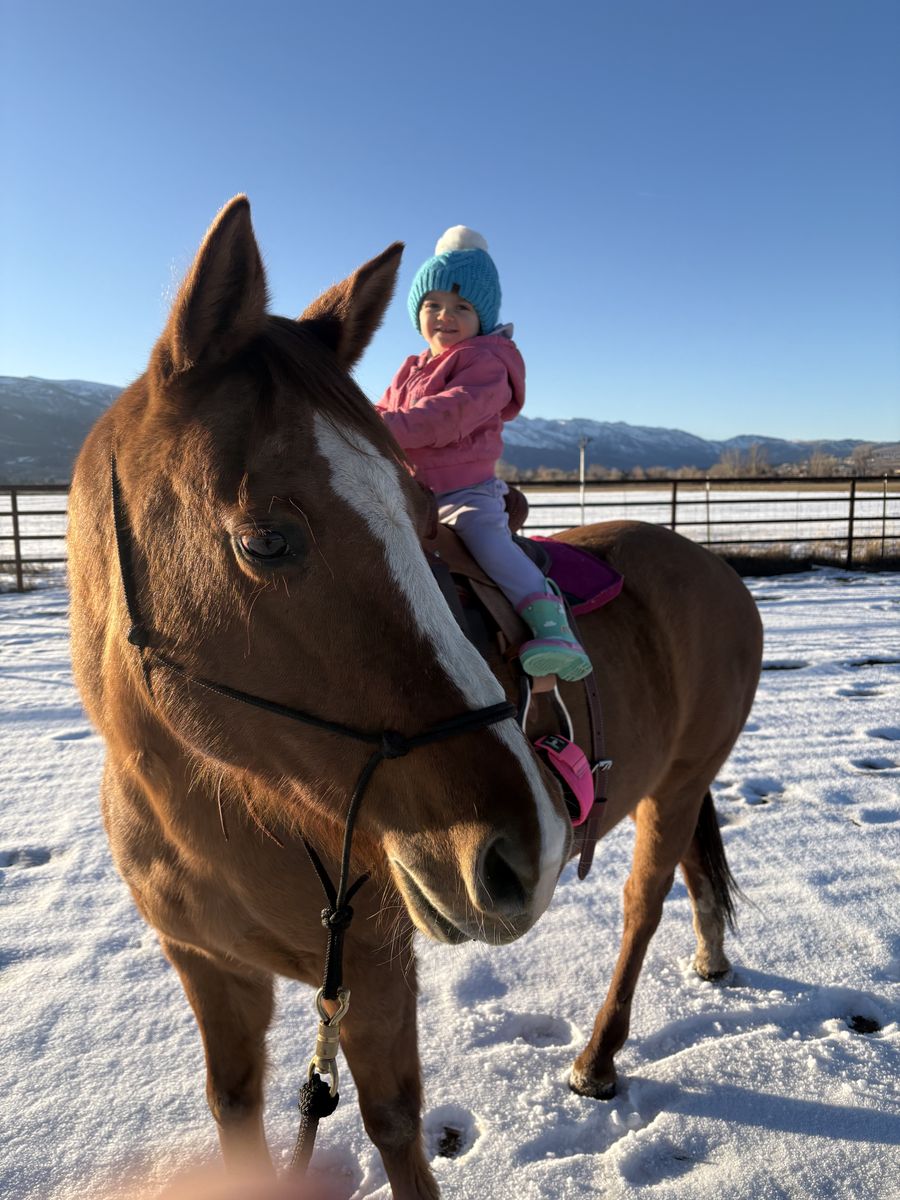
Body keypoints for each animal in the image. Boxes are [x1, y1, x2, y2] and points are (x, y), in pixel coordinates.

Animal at [67, 196, 762, 1200]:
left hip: (672, 791)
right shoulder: (211, 972)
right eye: (266, 539)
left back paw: (598, 1058)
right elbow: (234, 1106)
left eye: (422, 517)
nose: (525, 849)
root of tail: (718, 571)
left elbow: (395, 1126)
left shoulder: (373, 974)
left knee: (643, 905)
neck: (211, 807)